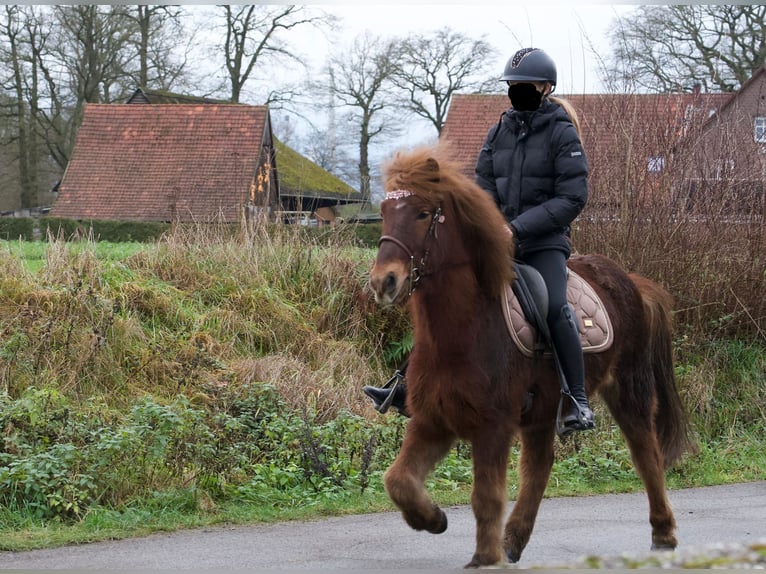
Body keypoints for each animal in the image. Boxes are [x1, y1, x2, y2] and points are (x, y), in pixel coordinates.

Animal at [367, 144, 696, 569]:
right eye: (386, 210)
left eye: (423, 213)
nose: (384, 282)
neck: (464, 331)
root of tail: (632, 283)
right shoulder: (433, 420)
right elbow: (398, 480)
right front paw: (434, 519)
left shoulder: (493, 425)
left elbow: (486, 496)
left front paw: (484, 558)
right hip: (542, 412)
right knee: (540, 466)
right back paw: (513, 540)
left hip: (628, 391)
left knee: (647, 455)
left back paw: (663, 534)